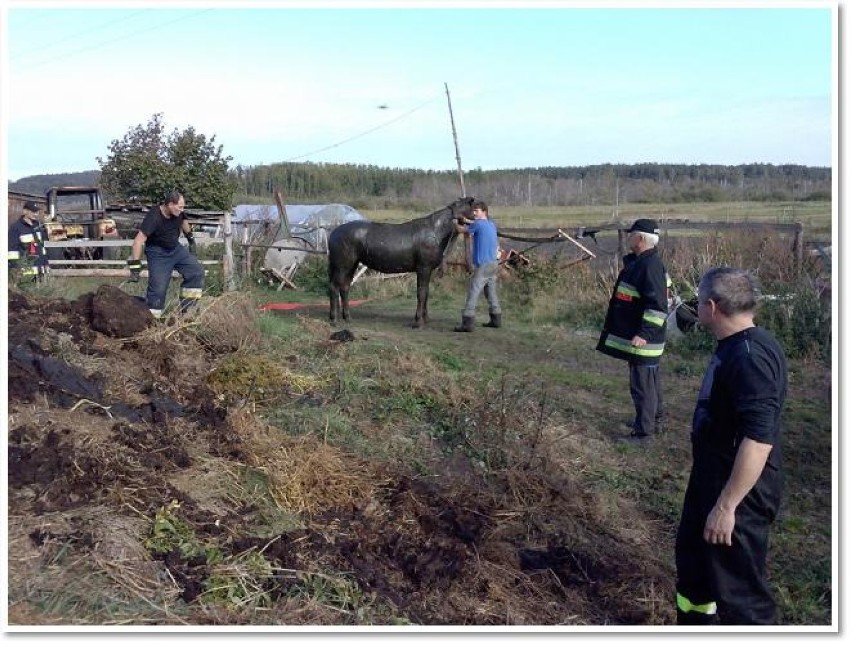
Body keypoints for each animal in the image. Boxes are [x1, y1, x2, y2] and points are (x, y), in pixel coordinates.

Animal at [328, 196, 472, 330]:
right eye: (472, 205)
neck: (434, 231)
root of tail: (334, 233)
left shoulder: (428, 270)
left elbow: (426, 293)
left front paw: (425, 318)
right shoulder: (423, 269)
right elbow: (421, 293)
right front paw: (418, 321)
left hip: (351, 265)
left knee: (345, 287)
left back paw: (347, 318)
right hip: (342, 266)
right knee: (335, 287)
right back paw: (334, 319)